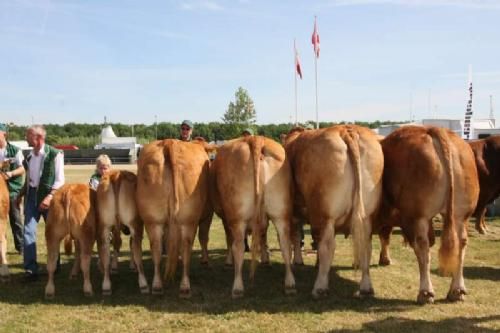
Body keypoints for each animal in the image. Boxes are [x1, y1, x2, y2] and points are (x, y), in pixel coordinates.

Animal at [136, 138, 210, 296]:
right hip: (189, 220)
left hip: (153, 219)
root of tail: (169, 143)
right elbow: (201, 237)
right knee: (186, 247)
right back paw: (185, 286)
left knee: (156, 247)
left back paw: (157, 285)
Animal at [212, 135, 296, 296]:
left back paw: (237, 287)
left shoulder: (226, 218)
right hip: (280, 212)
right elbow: (263, 236)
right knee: (285, 245)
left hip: (237, 216)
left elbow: (229, 240)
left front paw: (228, 262)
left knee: (237, 246)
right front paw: (265, 259)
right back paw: (289, 284)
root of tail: (255, 138)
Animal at [286, 126, 382, 296]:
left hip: (324, 215)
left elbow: (296, 237)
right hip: (367, 216)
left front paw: (297, 260)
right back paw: (366, 287)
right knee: (366, 246)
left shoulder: (294, 214)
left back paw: (320, 287)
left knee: (327, 246)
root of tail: (345, 130)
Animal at [376, 125, 480, 304]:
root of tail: (434, 129)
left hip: (419, 216)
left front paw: (384, 259)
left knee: (422, 247)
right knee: (461, 242)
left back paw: (425, 292)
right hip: (461, 214)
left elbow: (384, 235)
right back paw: (456, 290)